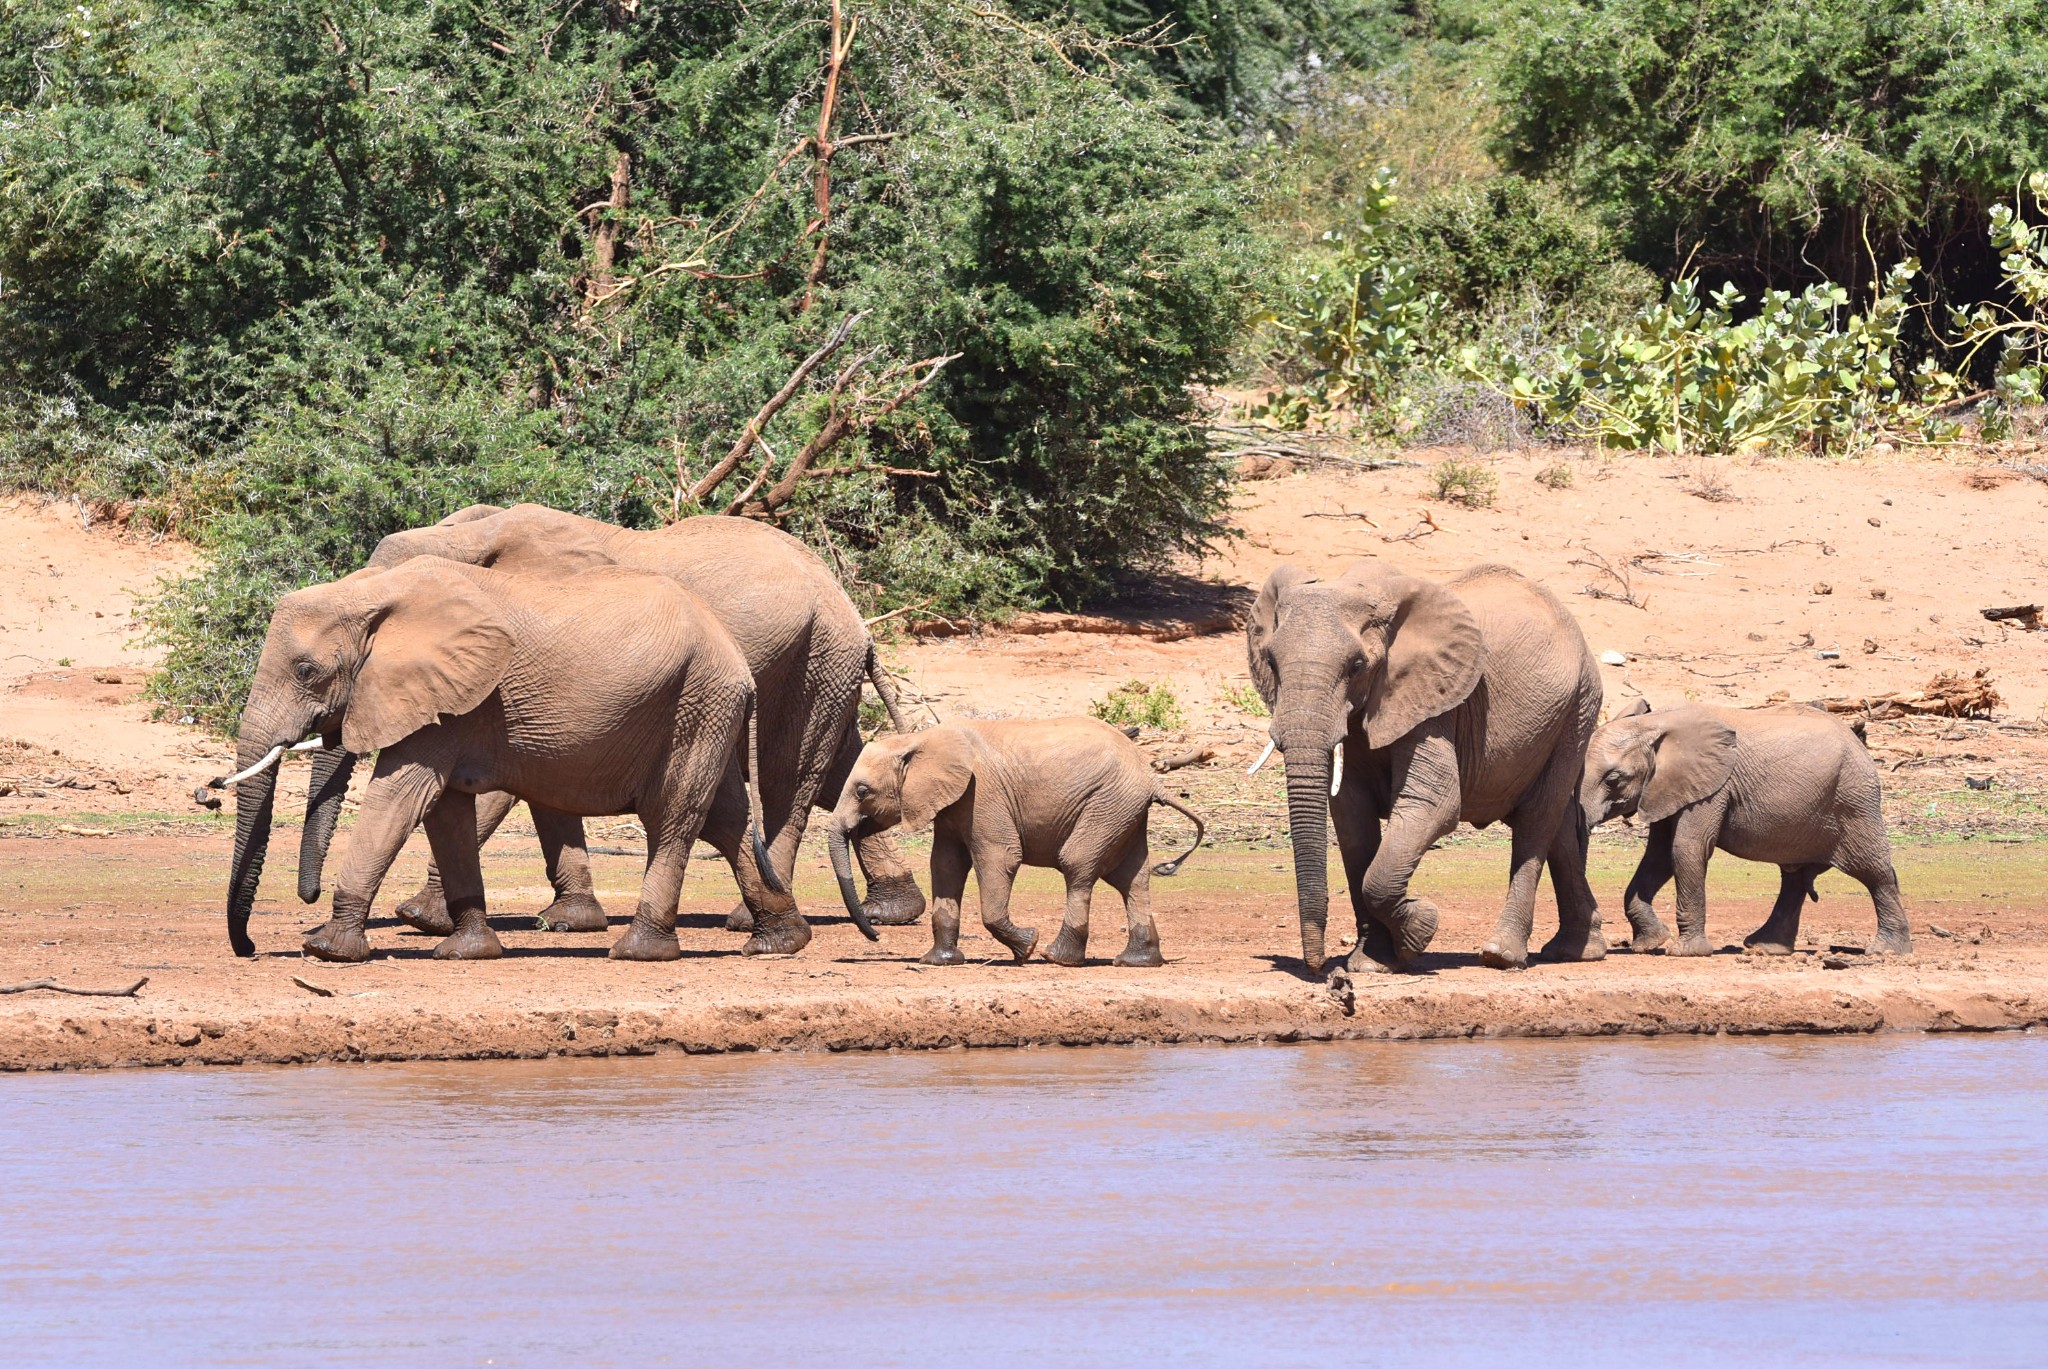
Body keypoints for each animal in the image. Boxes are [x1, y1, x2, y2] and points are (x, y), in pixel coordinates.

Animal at [290, 508, 929, 934]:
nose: (308, 900)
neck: (474, 532)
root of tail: (852, 609)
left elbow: (503, 785)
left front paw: (422, 918)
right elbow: (543, 783)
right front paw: (569, 920)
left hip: (816, 661)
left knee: (787, 782)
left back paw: (747, 917)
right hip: (823, 667)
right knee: (839, 770)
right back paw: (891, 910)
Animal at [823, 721, 1196, 967]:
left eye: (863, 791)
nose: (877, 934)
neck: (917, 740)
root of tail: (1152, 778)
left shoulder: (981, 795)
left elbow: (1000, 858)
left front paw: (1026, 947)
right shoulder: (951, 805)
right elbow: (945, 865)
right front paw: (938, 961)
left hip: (1108, 804)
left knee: (1077, 863)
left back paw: (1055, 957)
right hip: (1123, 810)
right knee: (1131, 878)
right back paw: (1137, 961)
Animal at [1245, 557, 1597, 971]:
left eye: (1357, 665)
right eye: (1271, 662)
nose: (1316, 967)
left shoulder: (1435, 703)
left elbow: (1433, 805)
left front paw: (1420, 931)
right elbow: (1352, 818)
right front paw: (1372, 963)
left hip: (1577, 710)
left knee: (1537, 819)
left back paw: (1501, 956)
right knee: (1559, 824)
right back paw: (1578, 951)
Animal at [1581, 700, 1900, 959]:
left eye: (1613, 780)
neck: (1654, 722)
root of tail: (1859, 741)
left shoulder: (1714, 788)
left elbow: (1686, 849)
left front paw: (1686, 953)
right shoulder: (1666, 787)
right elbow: (1658, 857)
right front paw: (1650, 944)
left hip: (1854, 799)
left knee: (1875, 872)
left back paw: (1887, 951)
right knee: (1795, 878)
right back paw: (1765, 948)